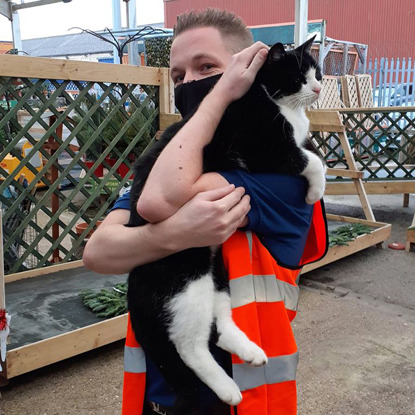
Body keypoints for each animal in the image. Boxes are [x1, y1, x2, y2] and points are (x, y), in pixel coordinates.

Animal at [127, 37, 324, 414]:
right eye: (298, 77)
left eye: (317, 72)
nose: (319, 87)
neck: (273, 101)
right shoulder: (266, 151)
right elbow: (313, 160)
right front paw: (314, 192)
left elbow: (312, 152)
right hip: (187, 280)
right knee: (189, 345)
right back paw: (228, 389)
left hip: (216, 269)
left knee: (218, 327)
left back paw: (251, 351)